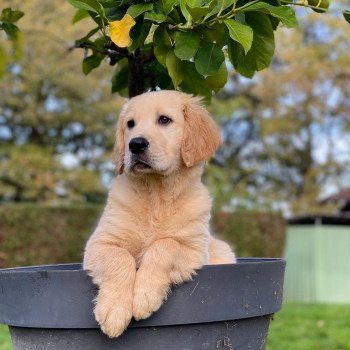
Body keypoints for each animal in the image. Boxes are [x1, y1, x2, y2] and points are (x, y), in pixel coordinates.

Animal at [82, 89, 235, 338]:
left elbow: (165, 245)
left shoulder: (192, 249)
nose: (135, 144)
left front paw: (144, 295)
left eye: (164, 120)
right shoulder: (100, 243)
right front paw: (114, 310)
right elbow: (119, 257)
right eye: (130, 124)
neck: (156, 196)